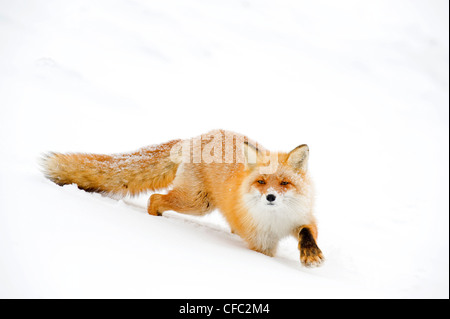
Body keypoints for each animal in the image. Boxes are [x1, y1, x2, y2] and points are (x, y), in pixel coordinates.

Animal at [42, 130, 324, 268]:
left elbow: (306, 234)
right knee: (154, 199)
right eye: (262, 182)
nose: (271, 197)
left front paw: (311, 255)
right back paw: (155, 218)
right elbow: (267, 257)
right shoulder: (261, 243)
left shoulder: (303, 218)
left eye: (285, 183)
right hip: (196, 203)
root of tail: (196, 138)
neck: (276, 221)